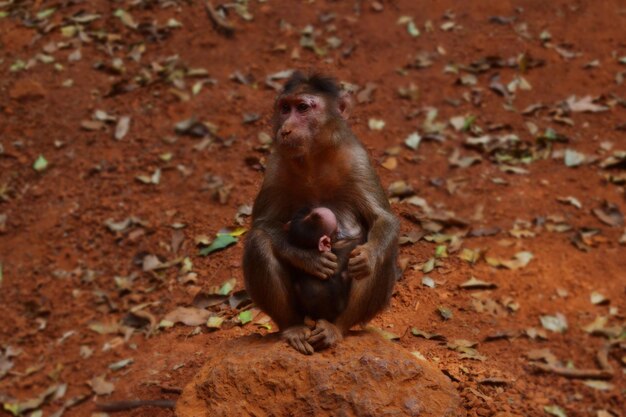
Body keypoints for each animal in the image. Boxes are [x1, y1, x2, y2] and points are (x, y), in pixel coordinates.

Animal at [241, 71, 398, 354]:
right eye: (285, 108)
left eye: (303, 108)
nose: (285, 128)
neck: (313, 157)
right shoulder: (276, 164)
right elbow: (261, 224)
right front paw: (307, 258)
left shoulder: (357, 158)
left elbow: (382, 219)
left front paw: (367, 256)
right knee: (259, 241)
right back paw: (292, 327)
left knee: (381, 251)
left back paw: (337, 328)